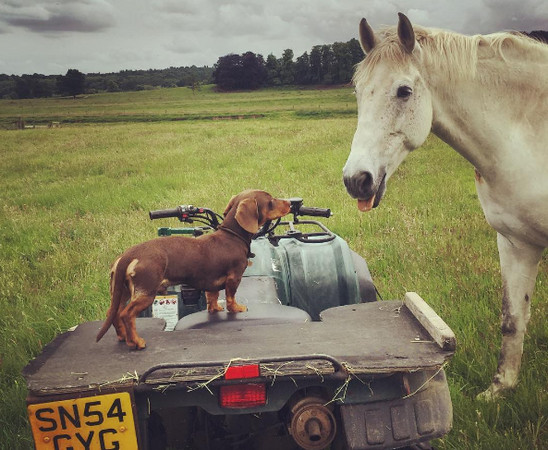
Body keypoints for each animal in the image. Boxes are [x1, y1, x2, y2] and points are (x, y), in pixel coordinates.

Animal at [344, 13, 544, 398]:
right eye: (359, 92)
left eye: (404, 91)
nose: (355, 179)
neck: (529, 134)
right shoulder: (516, 242)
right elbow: (512, 319)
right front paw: (499, 389)